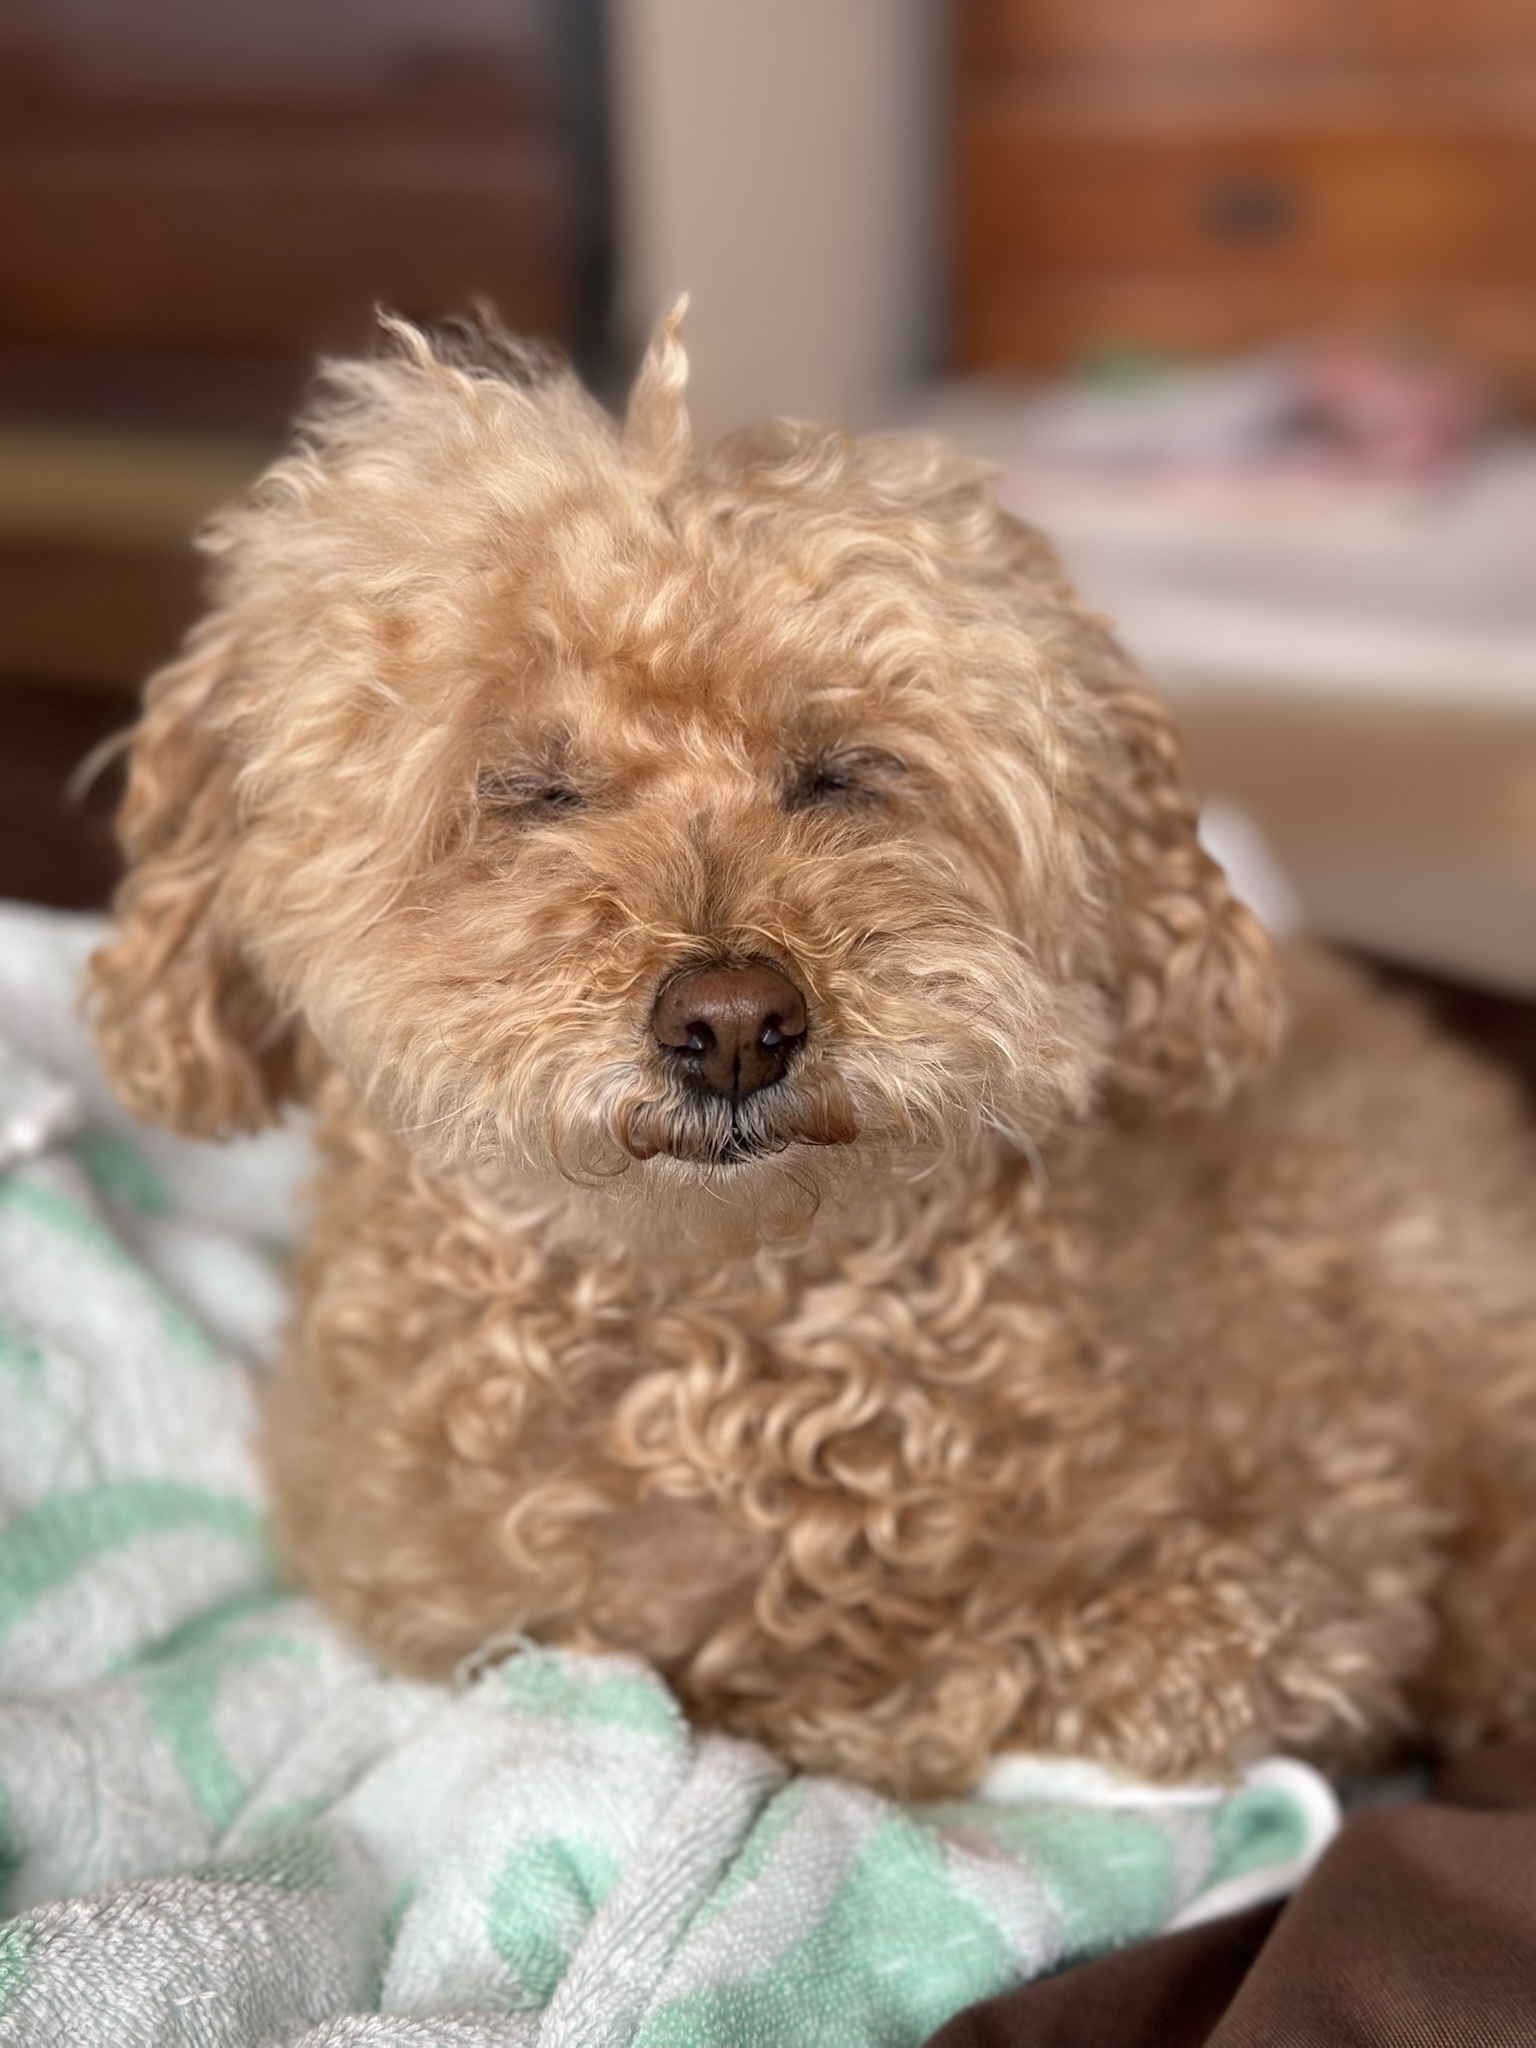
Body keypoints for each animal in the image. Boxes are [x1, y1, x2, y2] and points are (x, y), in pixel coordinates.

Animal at [90, 311, 1536, 1802]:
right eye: (533, 790)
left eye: (841, 774)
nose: (735, 1021)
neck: (731, 1343)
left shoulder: (1303, 1571)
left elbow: (1022, 1672)